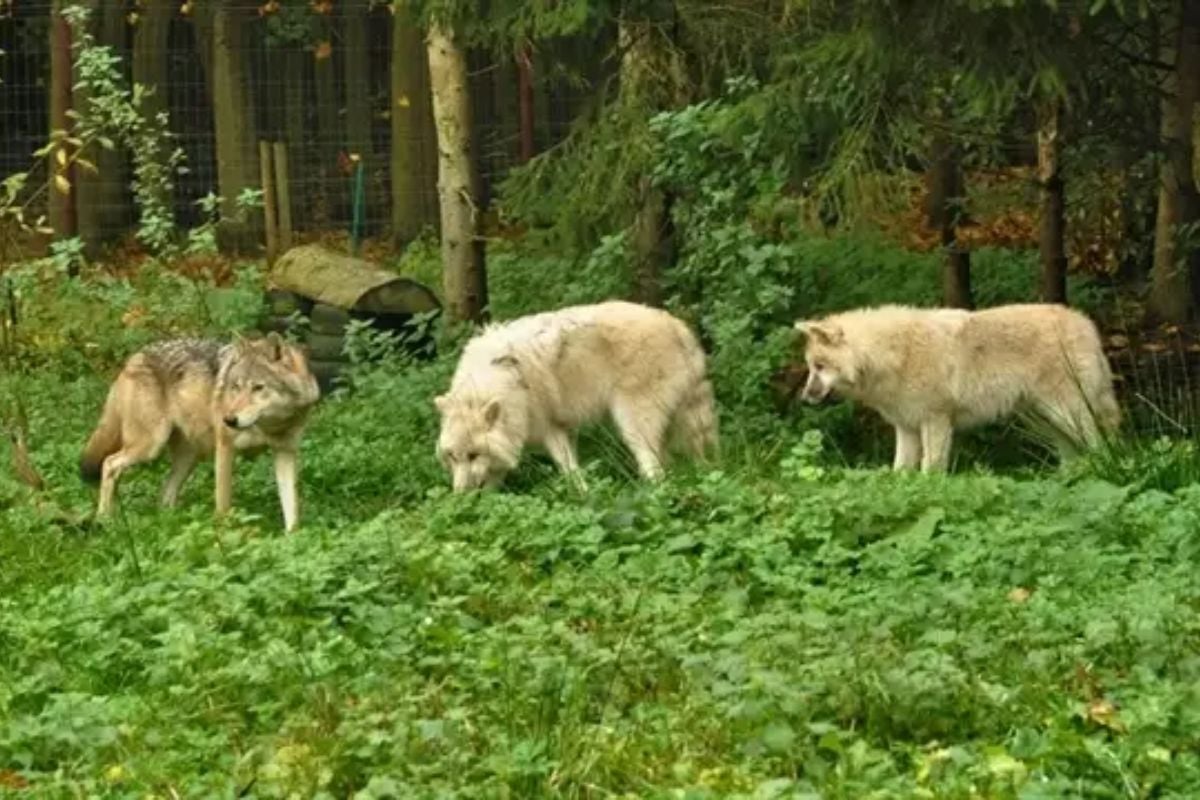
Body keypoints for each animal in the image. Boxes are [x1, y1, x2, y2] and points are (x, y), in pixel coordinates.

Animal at [79, 333, 321, 531]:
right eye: (235, 387)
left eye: (258, 388)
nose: (228, 419)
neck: (271, 425)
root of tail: (136, 356)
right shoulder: (225, 448)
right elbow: (223, 504)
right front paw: (225, 537)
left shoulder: (285, 453)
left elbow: (291, 509)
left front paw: (292, 540)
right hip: (150, 447)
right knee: (109, 463)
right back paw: (104, 520)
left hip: (189, 458)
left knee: (164, 495)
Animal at [434, 300, 718, 491]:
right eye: (453, 456)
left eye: (473, 455)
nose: (459, 494)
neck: (505, 377)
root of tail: (677, 327)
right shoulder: (559, 428)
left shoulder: (550, 428)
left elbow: (569, 469)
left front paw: (584, 496)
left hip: (633, 425)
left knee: (654, 469)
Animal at [795, 303, 1120, 471]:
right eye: (811, 367)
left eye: (820, 367)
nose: (804, 398)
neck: (894, 354)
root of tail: (1086, 323)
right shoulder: (907, 427)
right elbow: (900, 471)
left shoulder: (936, 421)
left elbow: (931, 469)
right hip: (1044, 421)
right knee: (1073, 455)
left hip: (1066, 415)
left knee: (1100, 445)